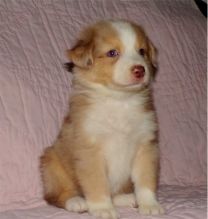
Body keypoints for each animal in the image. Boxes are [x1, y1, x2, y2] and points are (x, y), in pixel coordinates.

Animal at [40, 19, 164, 218]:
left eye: (142, 51)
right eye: (112, 53)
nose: (139, 70)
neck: (120, 100)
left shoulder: (146, 145)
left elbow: (145, 179)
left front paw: (149, 204)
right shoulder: (90, 149)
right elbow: (97, 183)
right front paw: (102, 208)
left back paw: (126, 198)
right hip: (52, 164)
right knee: (55, 195)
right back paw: (77, 202)